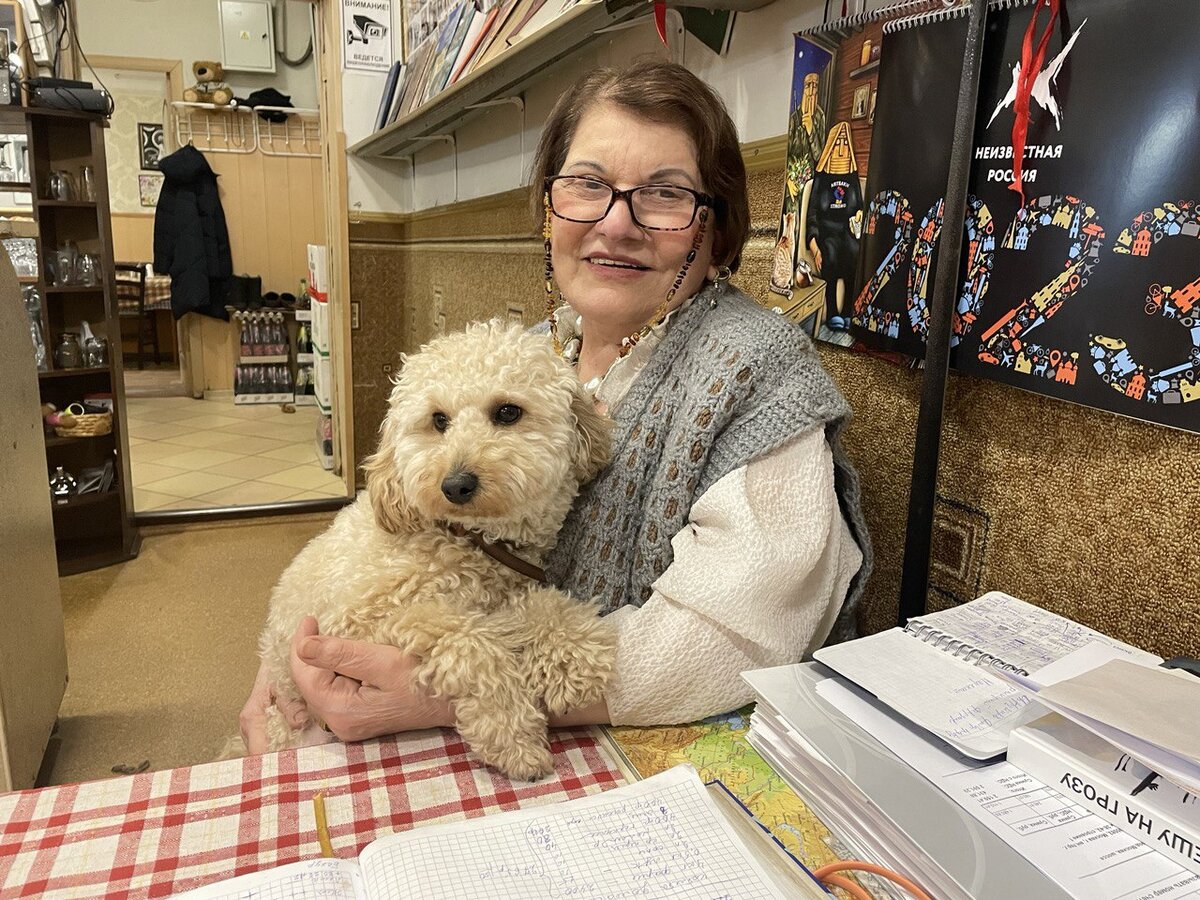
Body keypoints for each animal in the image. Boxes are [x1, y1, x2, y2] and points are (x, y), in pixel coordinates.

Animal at [255, 324, 609, 782]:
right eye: (439, 420)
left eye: (507, 412)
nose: (455, 485)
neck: (470, 540)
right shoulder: (356, 620)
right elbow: (471, 638)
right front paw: (514, 736)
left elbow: (535, 608)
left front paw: (572, 655)